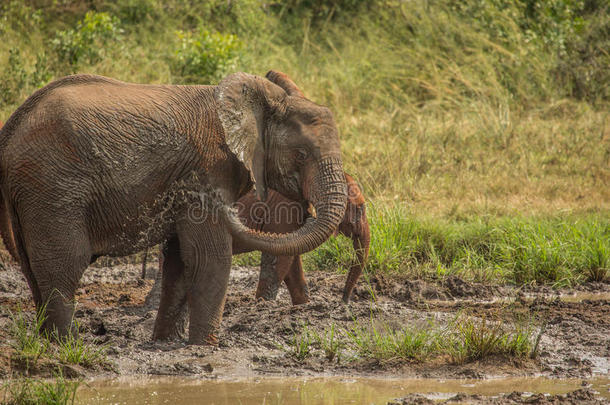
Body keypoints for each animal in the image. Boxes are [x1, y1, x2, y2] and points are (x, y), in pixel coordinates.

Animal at [0, 71, 346, 342]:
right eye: (302, 154)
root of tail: (10, 132)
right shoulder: (209, 170)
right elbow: (210, 257)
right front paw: (205, 347)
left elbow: (179, 261)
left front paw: (167, 343)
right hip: (52, 187)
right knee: (64, 267)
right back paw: (70, 345)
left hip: (32, 194)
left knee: (34, 271)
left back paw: (49, 343)